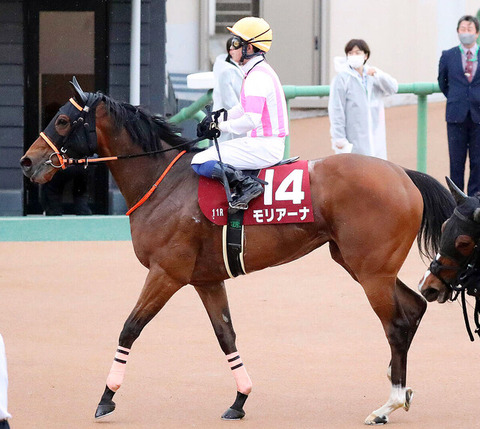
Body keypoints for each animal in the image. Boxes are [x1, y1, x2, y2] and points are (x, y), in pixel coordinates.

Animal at [19, 78, 454, 422]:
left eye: (62, 120)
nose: (27, 162)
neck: (164, 183)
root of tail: (403, 175)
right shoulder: (206, 280)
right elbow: (225, 335)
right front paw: (240, 400)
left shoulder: (166, 273)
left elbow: (130, 327)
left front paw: (107, 397)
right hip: (360, 264)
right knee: (413, 309)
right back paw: (400, 390)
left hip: (371, 271)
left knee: (395, 324)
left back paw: (388, 404)